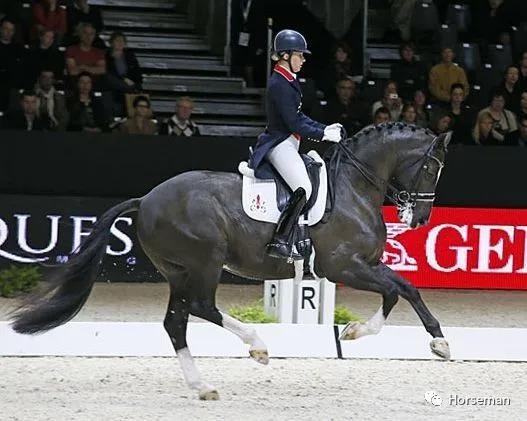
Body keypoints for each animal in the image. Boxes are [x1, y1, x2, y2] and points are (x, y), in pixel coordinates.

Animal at [10, 123, 452, 400]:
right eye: (431, 167)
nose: (420, 218)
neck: (353, 187)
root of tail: (147, 199)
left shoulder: (362, 266)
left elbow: (402, 290)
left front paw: (376, 335)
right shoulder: (344, 266)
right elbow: (398, 290)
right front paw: (406, 338)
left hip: (178, 270)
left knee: (176, 322)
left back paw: (203, 387)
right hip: (206, 260)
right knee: (202, 307)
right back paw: (257, 346)